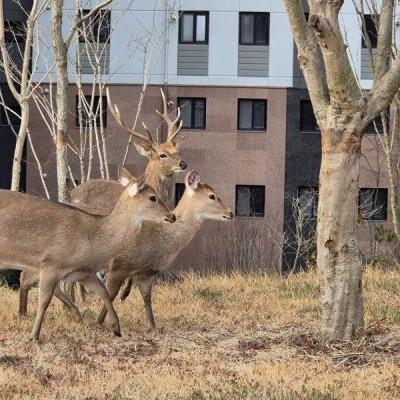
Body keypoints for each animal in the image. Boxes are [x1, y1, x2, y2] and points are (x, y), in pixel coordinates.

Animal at [0, 176, 175, 340]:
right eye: (153, 197)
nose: (172, 216)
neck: (91, 241)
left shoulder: (83, 273)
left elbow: (103, 291)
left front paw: (116, 328)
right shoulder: (51, 264)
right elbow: (44, 300)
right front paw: (34, 336)